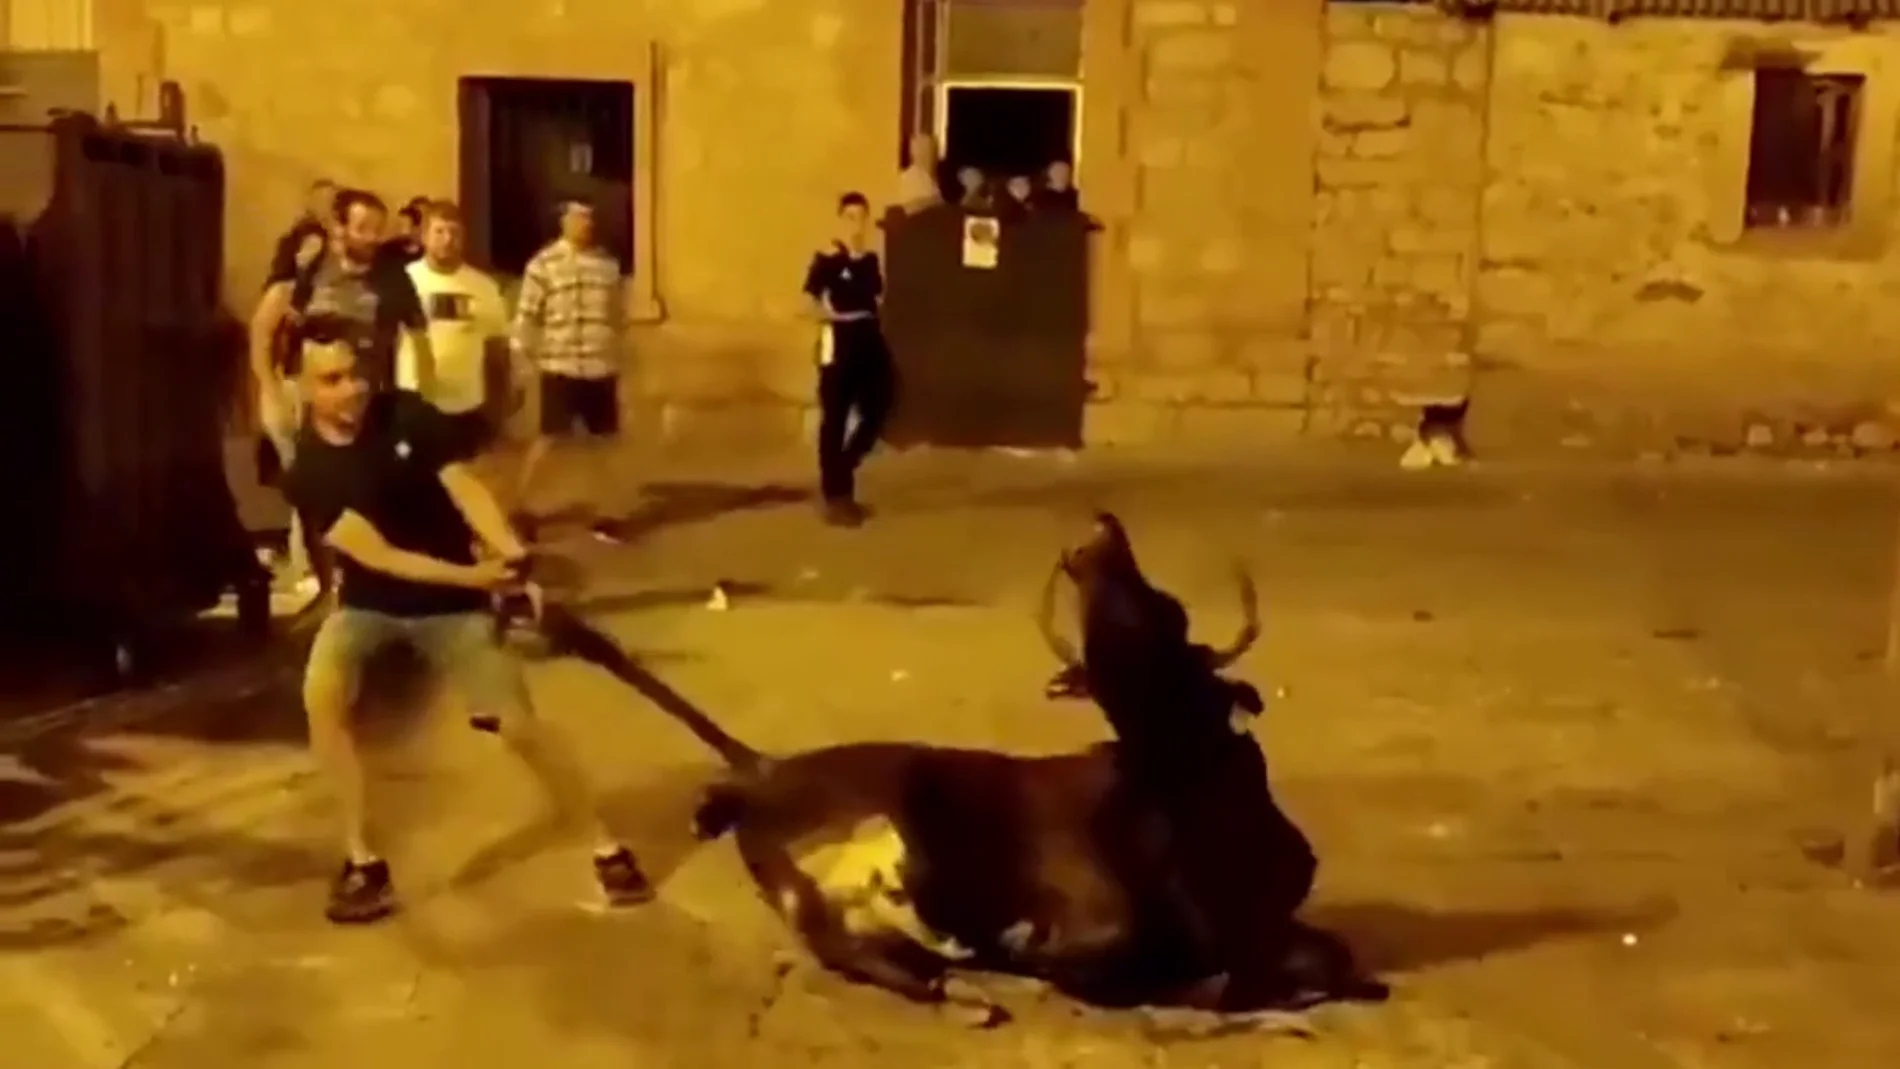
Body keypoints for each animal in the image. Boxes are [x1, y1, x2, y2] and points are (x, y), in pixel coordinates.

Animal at [528, 543, 1390, 1025]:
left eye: (1184, 652)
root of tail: (761, 771)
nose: (1093, 556)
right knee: (862, 955)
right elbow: (1163, 968)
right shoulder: (1090, 923)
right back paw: (967, 990)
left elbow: (1331, 954)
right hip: (810, 895)